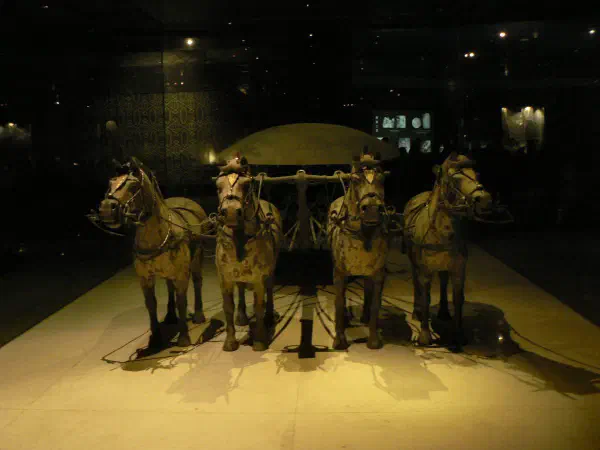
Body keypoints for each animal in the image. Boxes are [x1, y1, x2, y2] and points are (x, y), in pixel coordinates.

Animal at [95, 157, 211, 349]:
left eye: (133, 185)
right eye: (111, 182)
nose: (106, 209)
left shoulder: (181, 273)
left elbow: (182, 300)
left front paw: (184, 337)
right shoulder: (145, 277)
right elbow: (151, 304)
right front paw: (155, 338)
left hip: (197, 257)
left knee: (197, 282)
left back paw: (199, 314)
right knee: (170, 287)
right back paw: (171, 316)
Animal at [214, 154, 282, 352]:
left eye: (246, 185)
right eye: (218, 186)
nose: (230, 212)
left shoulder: (258, 279)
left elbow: (259, 305)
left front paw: (259, 341)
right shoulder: (225, 279)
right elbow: (228, 307)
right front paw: (230, 342)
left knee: (269, 288)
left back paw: (269, 317)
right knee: (241, 288)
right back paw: (242, 317)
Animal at [327, 150, 392, 350]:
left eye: (382, 178)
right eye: (355, 180)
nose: (371, 210)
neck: (364, 234)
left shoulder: (378, 273)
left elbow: (375, 304)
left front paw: (373, 340)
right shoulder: (339, 272)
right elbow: (339, 301)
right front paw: (339, 340)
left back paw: (364, 317)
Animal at [402, 151, 493, 347]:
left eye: (477, 174)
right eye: (455, 177)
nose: (484, 199)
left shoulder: (459, 270)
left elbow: (458, 299)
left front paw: (458, 334)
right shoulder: (425, 272)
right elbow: (425, 297)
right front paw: (425, 335)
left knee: (443, 280)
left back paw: (443, 311)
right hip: (414, 262)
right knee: (416, 283)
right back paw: (416, 312)